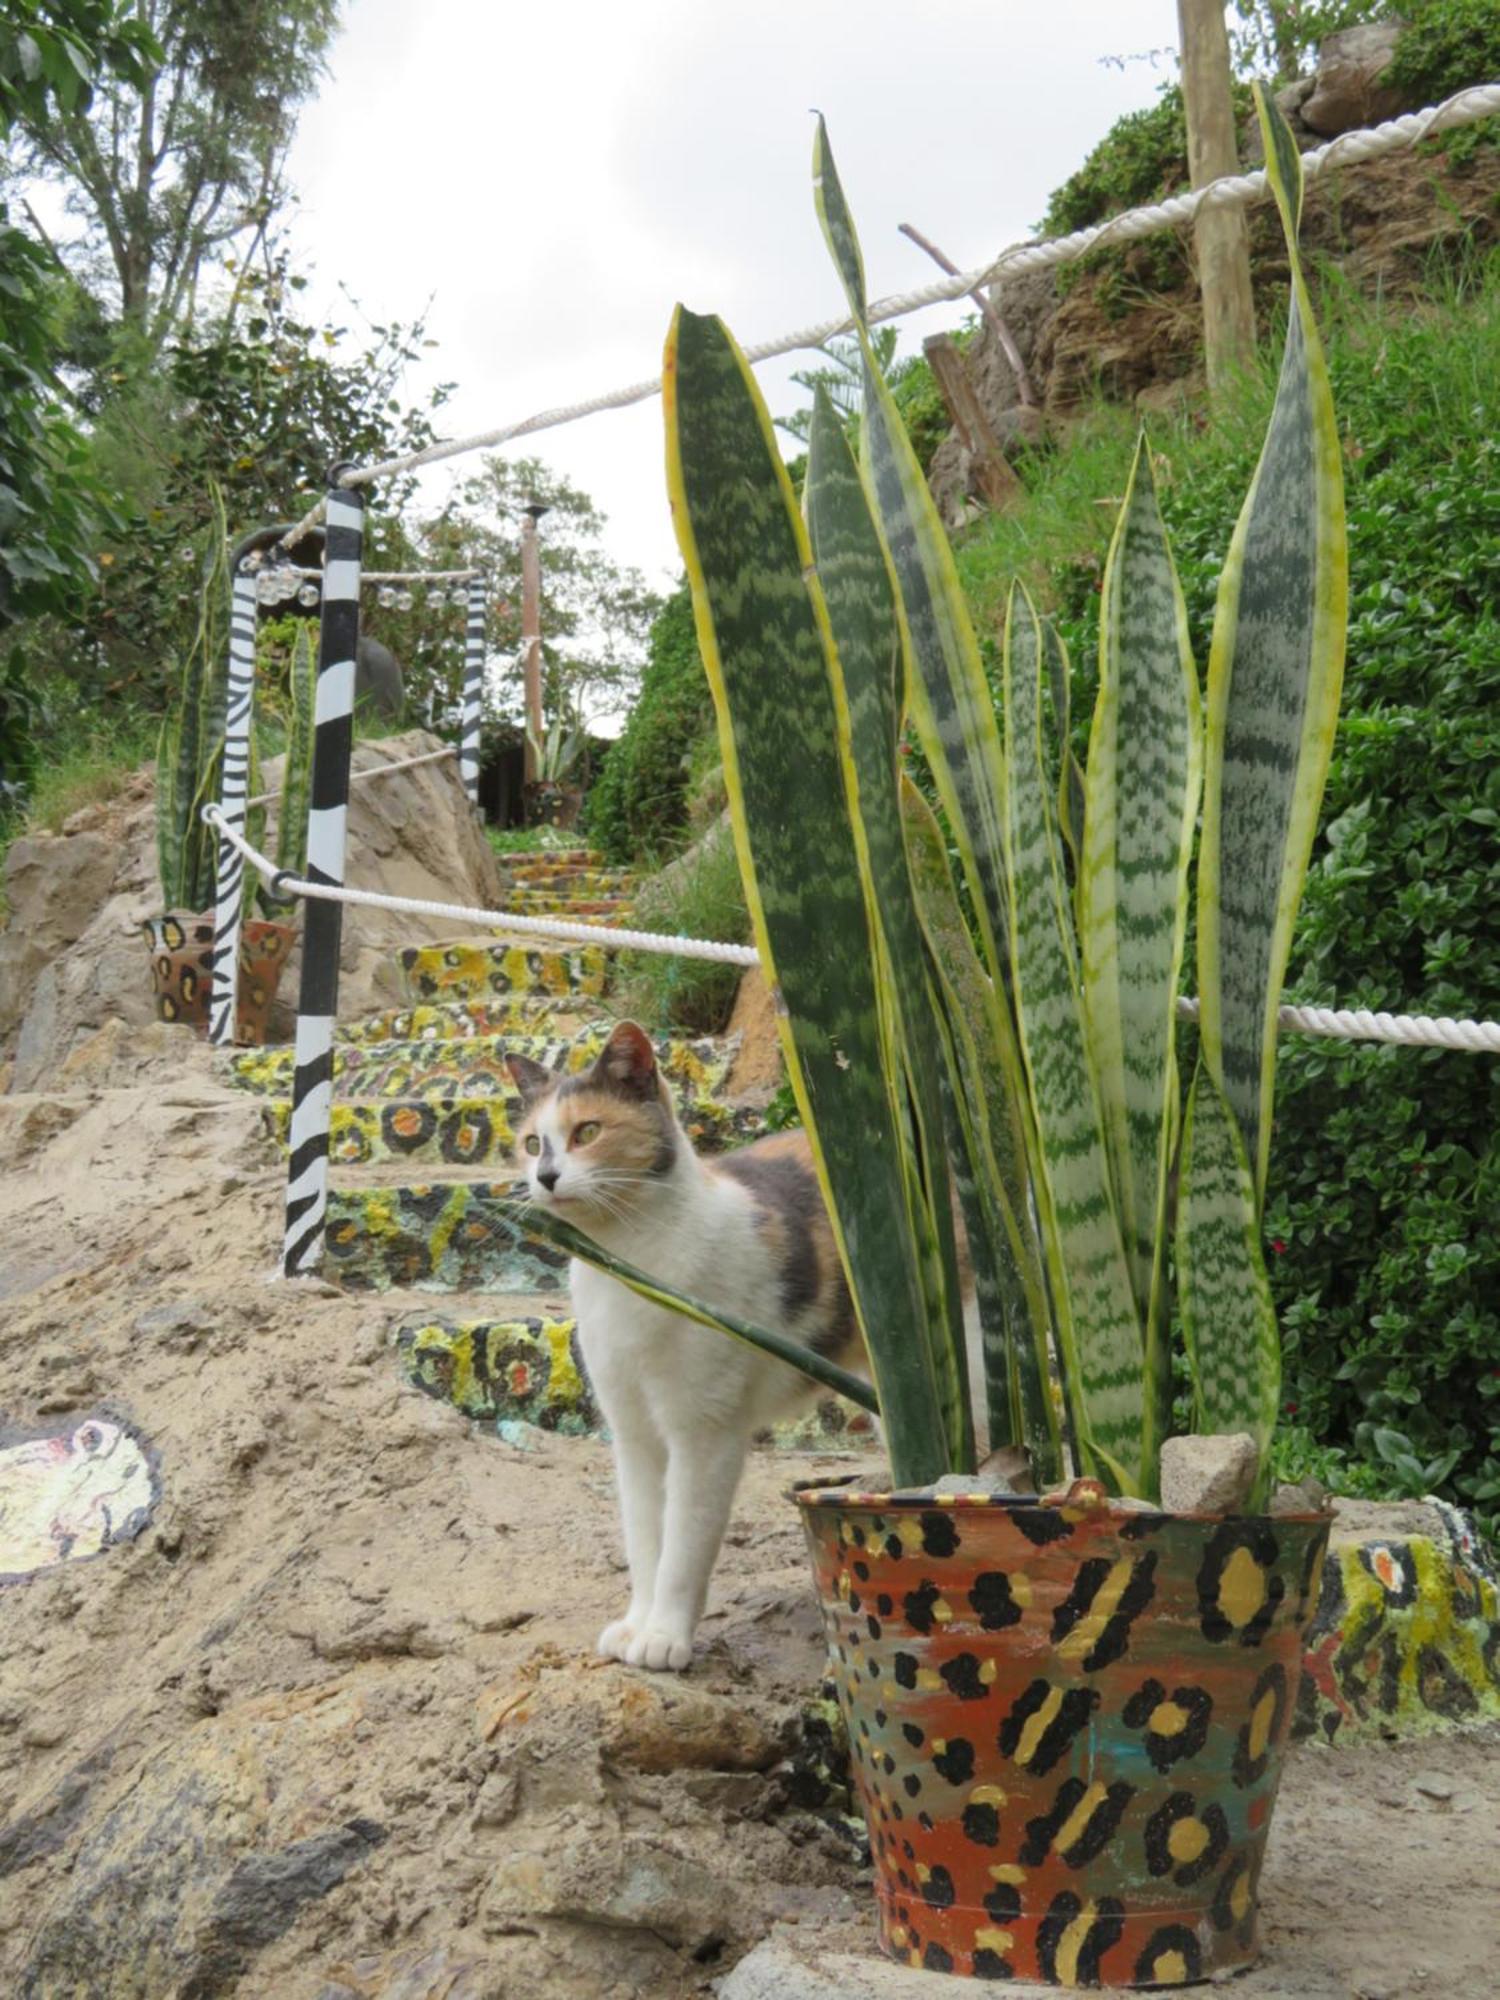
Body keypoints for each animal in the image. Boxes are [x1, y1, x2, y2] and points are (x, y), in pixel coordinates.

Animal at [508, 1016, 868, 1672]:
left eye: (587, 1132)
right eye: (529, 1143)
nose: (544, 1177)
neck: (627, 1261)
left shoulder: (704, 1432)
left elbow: (682, 1545)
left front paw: (664, 1637)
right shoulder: (633, 1433)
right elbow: (645, 1539)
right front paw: (636, 1626)